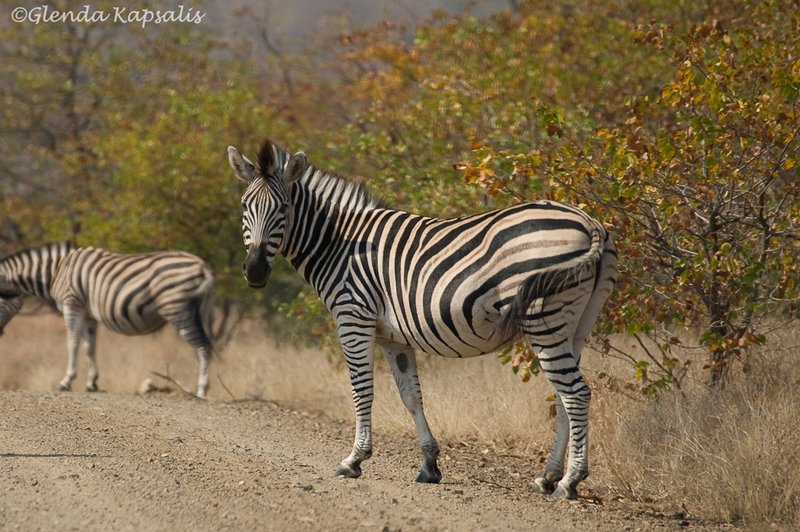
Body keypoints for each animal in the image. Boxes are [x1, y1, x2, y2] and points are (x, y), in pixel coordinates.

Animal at [0, 242, 216, 397]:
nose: (0, 333)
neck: (57, 271)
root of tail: (202, 265)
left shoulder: (72, 305)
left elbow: (72, 343)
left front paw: (66, 381)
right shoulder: (88, 315)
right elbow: (90, 347)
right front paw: (92, 383)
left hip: (177, 309)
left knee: (201, 346)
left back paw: (201, 390)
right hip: (195, 311)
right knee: (205, 344)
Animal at [228, 140, 617, 499]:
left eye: (283, 208)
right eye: (246, 206)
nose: (255, 271)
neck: (338, 244)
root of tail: (589, 222)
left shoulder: (353, 318)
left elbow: (362, 390)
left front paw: (354, 460)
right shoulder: (393, 337)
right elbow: (411, 396)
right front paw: (429, 464)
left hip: (544, 319)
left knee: (576, 394)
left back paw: (570, 482)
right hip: (576, 324)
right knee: (564, 397)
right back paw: (548, 477)